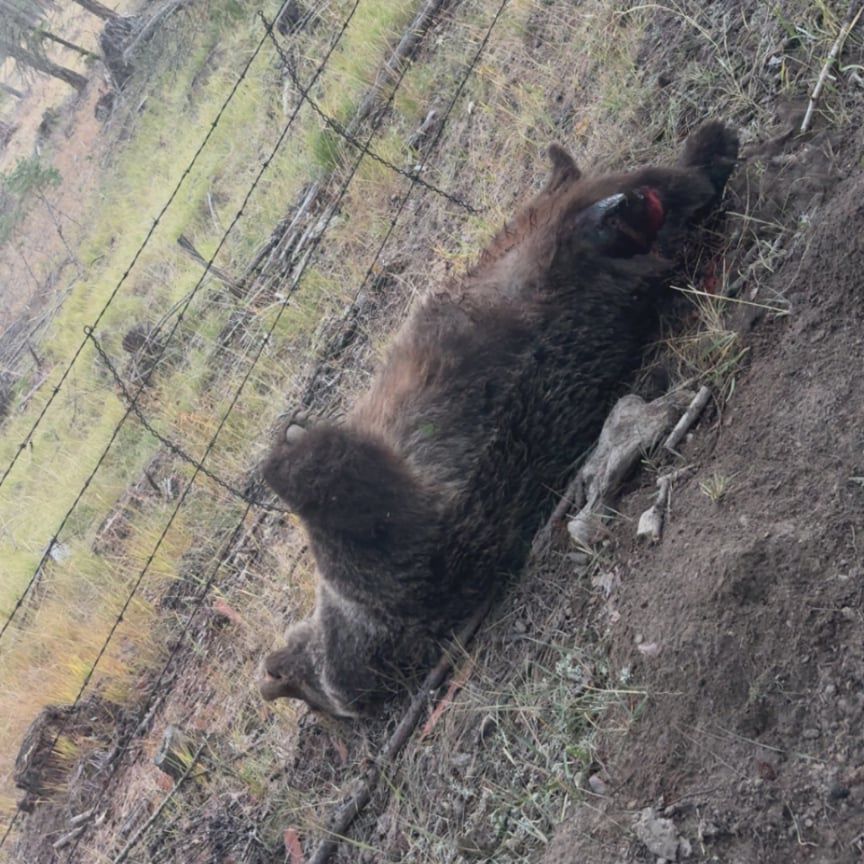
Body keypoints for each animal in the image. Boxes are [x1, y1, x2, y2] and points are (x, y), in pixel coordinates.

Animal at [260, 122, 739, 718]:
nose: (284, 671)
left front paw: (291, 431)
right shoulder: (410, 545)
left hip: (544, 240)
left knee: (608, 191)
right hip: (580, 261)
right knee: (647, 205)